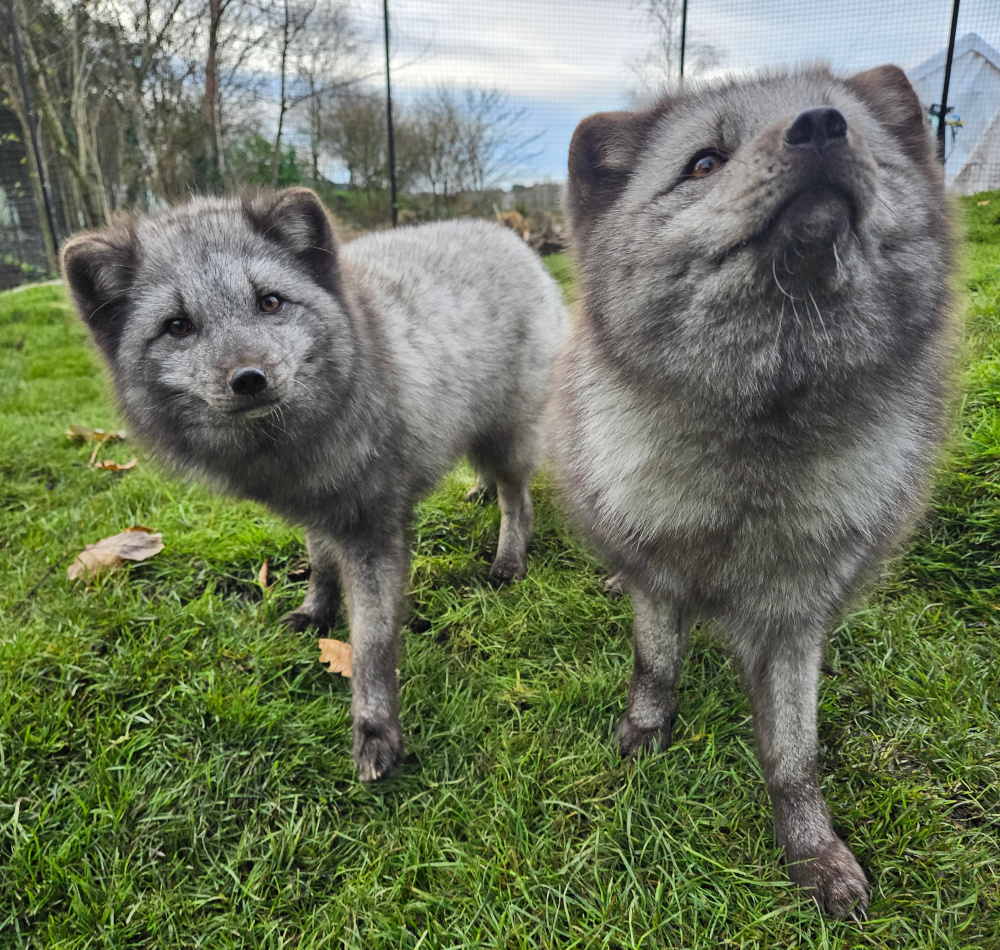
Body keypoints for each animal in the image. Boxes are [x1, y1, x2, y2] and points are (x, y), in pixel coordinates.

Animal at [61, 187, 569, 781]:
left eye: (270, 302)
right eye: (177, 326)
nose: (249, 380)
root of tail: (505, 235)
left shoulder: (373, 530)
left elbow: (371, 642)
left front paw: (376, 733)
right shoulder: (313, 508)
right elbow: (320, 563)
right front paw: (314, 612)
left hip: (511, 435)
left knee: (520, 500)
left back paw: (508, 558)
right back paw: (478, 492)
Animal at [550, 66, 955, 917]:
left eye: (858, 133)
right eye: (704, 163)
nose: (823, 126)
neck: (758, 445)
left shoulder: (796, 610)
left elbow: (796, 754)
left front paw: (814, 852)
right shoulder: (660, 574)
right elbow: (655, 663)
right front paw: (644, 734)